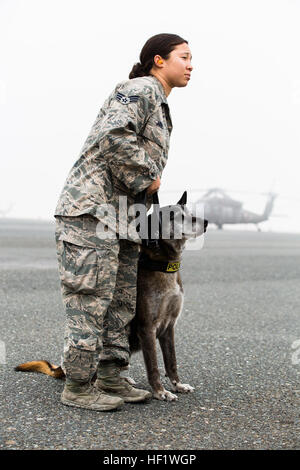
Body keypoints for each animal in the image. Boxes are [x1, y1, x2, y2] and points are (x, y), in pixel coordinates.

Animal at [15, 190, 207, 400]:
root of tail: (61, 368)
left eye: (188, 212)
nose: (206, 222)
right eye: (174, 216)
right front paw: (160, 391)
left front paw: (178, 385)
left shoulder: (168, 327)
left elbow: (171, 362)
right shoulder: (147, 327)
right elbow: (154, 366)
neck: (161, 265)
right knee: (91, 372)